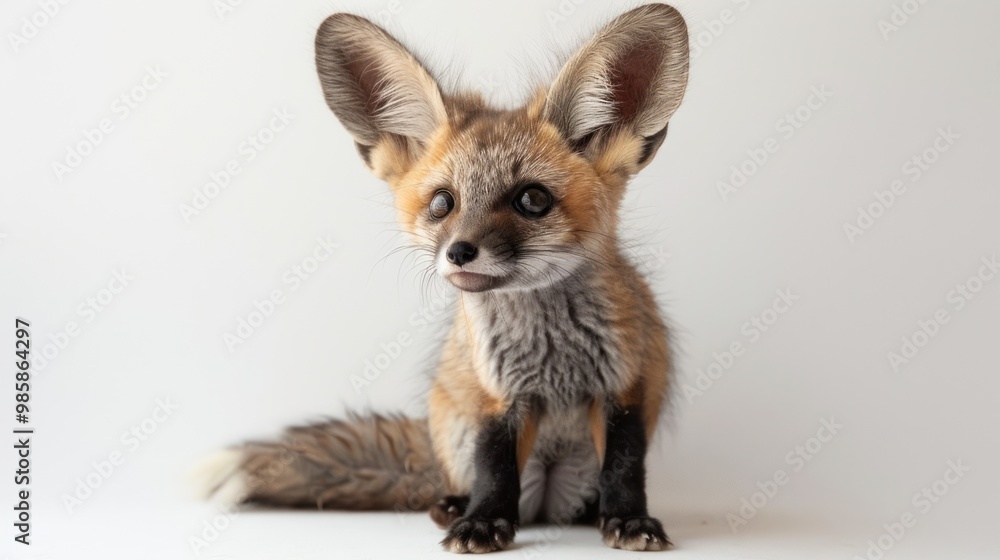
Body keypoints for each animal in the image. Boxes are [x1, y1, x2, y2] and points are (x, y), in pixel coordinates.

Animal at [197, 3, 690, 554]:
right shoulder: (495, 397)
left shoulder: (624, 386)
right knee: (469, 483)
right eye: (442, 204)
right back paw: (454, 506)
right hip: (457, 432)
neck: (552, 351)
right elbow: (494, 470)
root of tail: (548, 504)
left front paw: (629, 520)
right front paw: (482, 522)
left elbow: (625, 468)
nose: (459, 252)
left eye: (532, 199)